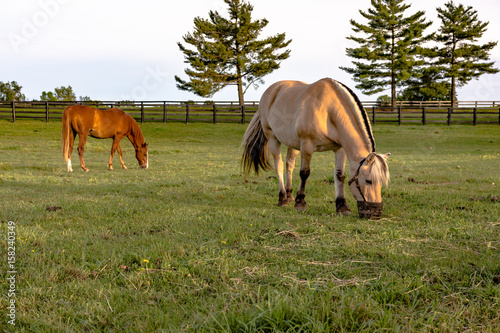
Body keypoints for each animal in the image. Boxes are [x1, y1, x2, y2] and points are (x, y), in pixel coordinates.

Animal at [242, 78, 390, 218]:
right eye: (368, 181)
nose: (376, 213)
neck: (329, 111)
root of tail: (270, 91)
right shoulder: (307, 146)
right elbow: (304, 173)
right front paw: (300, 203)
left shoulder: (340, 149)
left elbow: (339, 175)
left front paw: (342, 206)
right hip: (273, 138)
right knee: (279, 165)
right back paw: (283, 198)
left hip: (293, 144)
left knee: (289, 165)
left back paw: (289, 196)